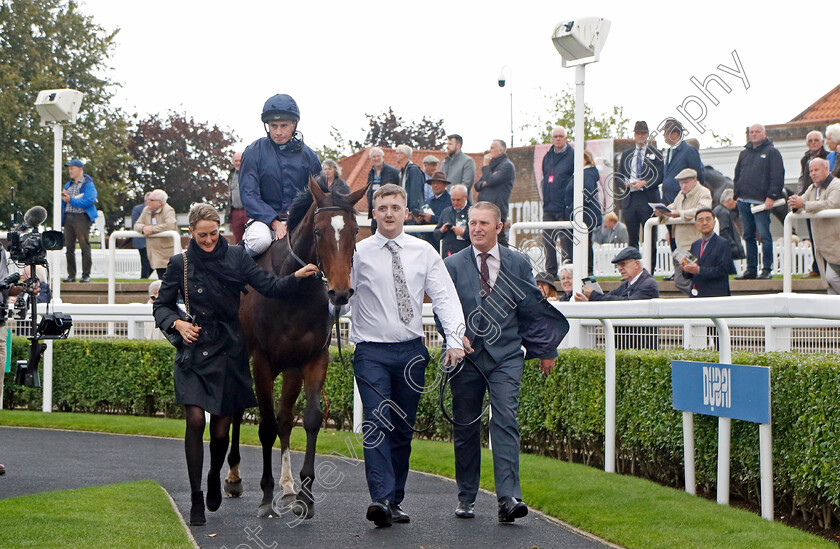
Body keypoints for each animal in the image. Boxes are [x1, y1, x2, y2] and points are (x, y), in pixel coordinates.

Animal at [228, 179, 366, 520]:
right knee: (237, 410)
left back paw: (288, 488)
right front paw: (266, 496)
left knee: (286, 418)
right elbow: (265, 425)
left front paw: (305, 494)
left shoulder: (314, 358)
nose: (340, 292)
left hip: (290, 368)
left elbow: (310, 418)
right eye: (318, 231)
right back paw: (233, 478)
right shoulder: (261, 362)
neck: (292, 290)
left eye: (355, 230)